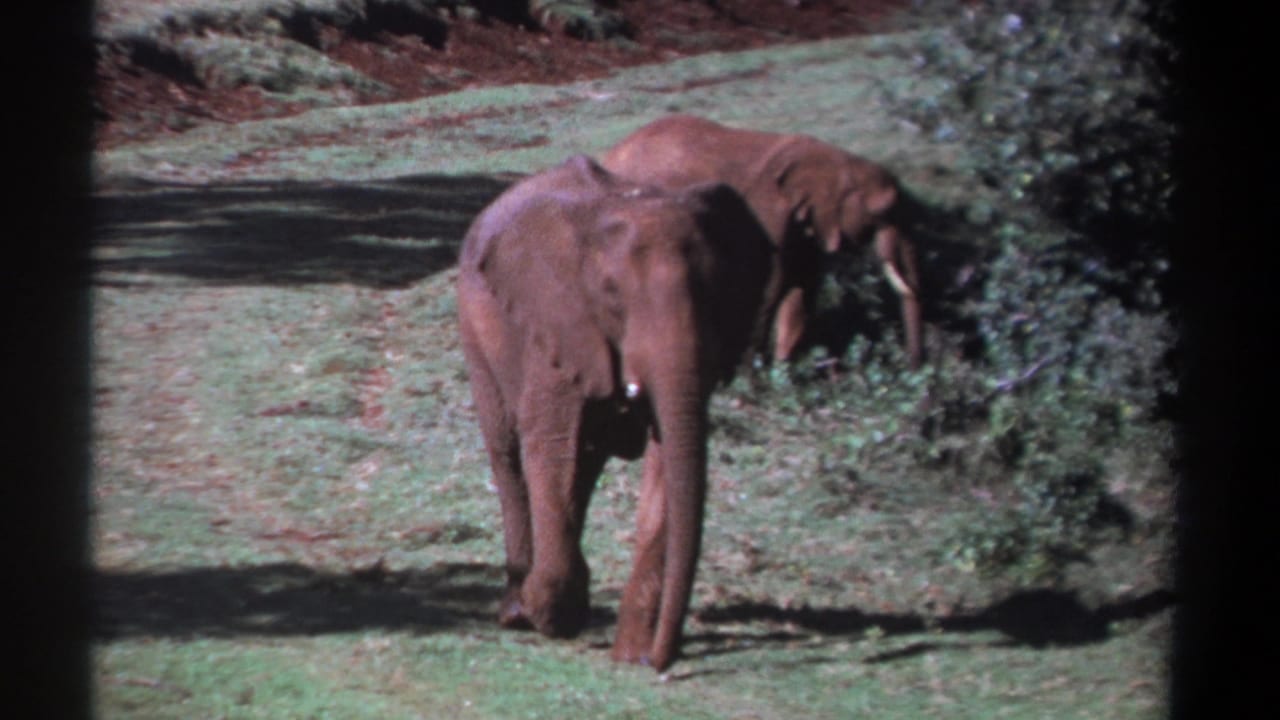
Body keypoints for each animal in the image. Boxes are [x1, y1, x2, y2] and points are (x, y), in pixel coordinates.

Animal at [456, 155, 775, 671]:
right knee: (508, 451)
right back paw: (517, 612)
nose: (662, 661)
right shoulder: (558, 323)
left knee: (585, 464)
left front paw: (631, 652)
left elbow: (668, 460)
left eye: (717, 293)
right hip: (474, 326)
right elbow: (551, 445)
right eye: (611, 295)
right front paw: (552, 617)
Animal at [599, 114, 923, 368]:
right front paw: (756, 379)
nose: (914, 365)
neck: (835, 159)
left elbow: (802, 290)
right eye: (882, 211)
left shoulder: (803, 225)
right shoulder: (768, 213)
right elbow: (767, 287)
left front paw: (785, 373)